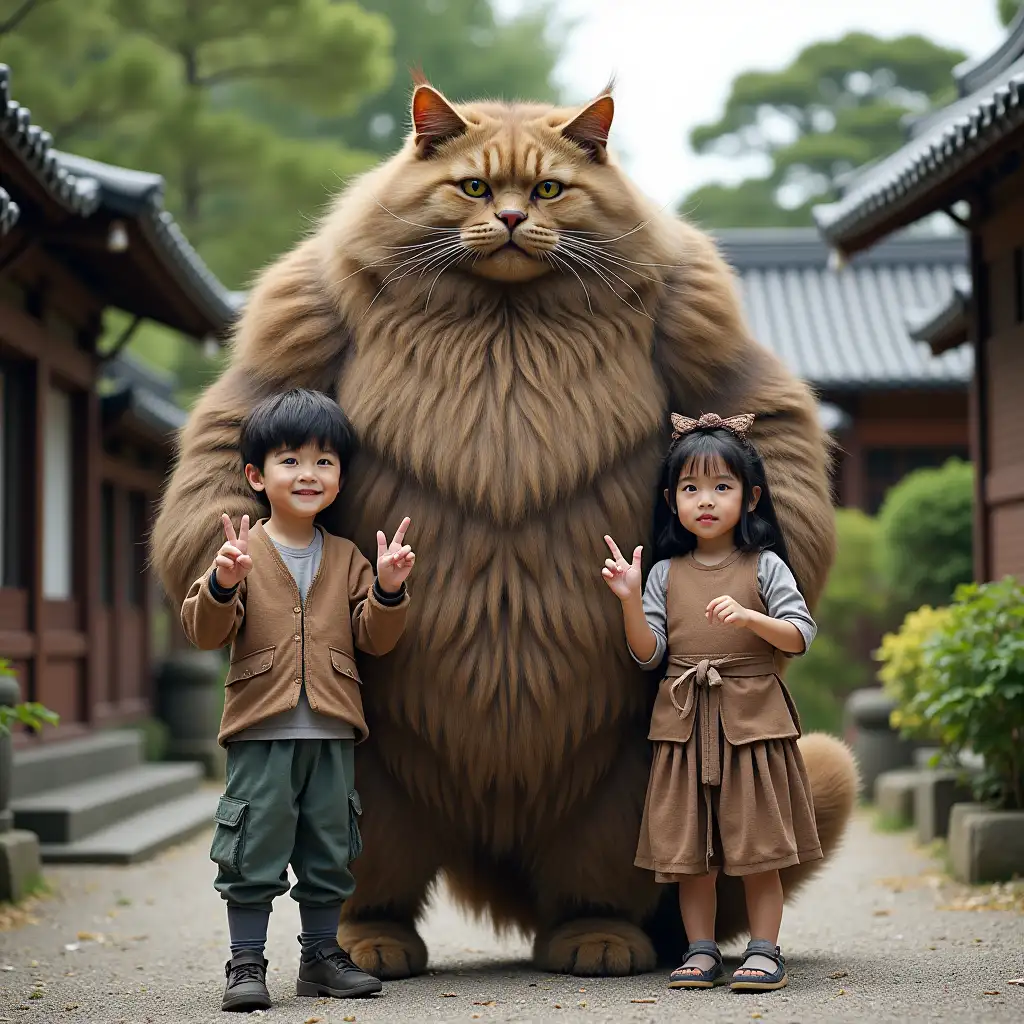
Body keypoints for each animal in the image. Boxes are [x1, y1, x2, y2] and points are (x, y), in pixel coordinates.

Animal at [151, 77, 856, 974]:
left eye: (551, 188)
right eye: (475, 186)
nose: (516, 218)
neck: (505, 306)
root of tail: (494, 841)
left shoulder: (702, 323)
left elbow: (768, 420)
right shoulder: (302, 314)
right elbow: (229, 433)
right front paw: (232, 573)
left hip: (618, 790)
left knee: (600, 874)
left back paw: (598, 938)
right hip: (379, 783)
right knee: (369, 866)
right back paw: (370, 941)